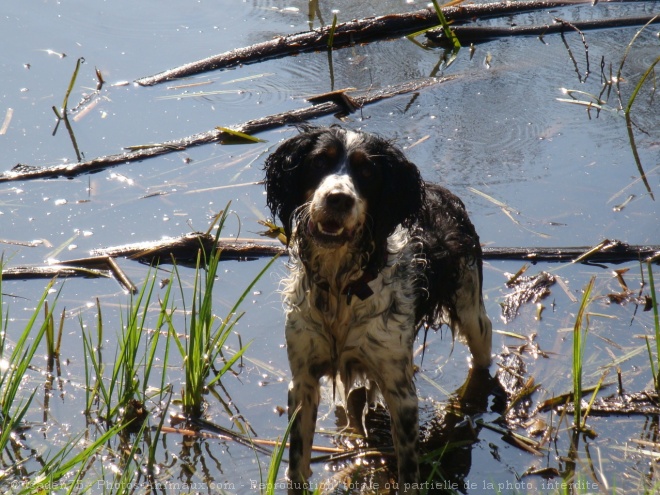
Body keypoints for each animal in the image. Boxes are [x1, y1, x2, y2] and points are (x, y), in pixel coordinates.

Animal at [262, 125, 490, 492]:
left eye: (367, 172)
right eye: (318, 162)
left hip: (471, 311)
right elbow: (297, 461)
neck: (341, 285)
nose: (338, 199)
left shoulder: (401, 392)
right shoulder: (304, 380)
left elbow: (408, 467)